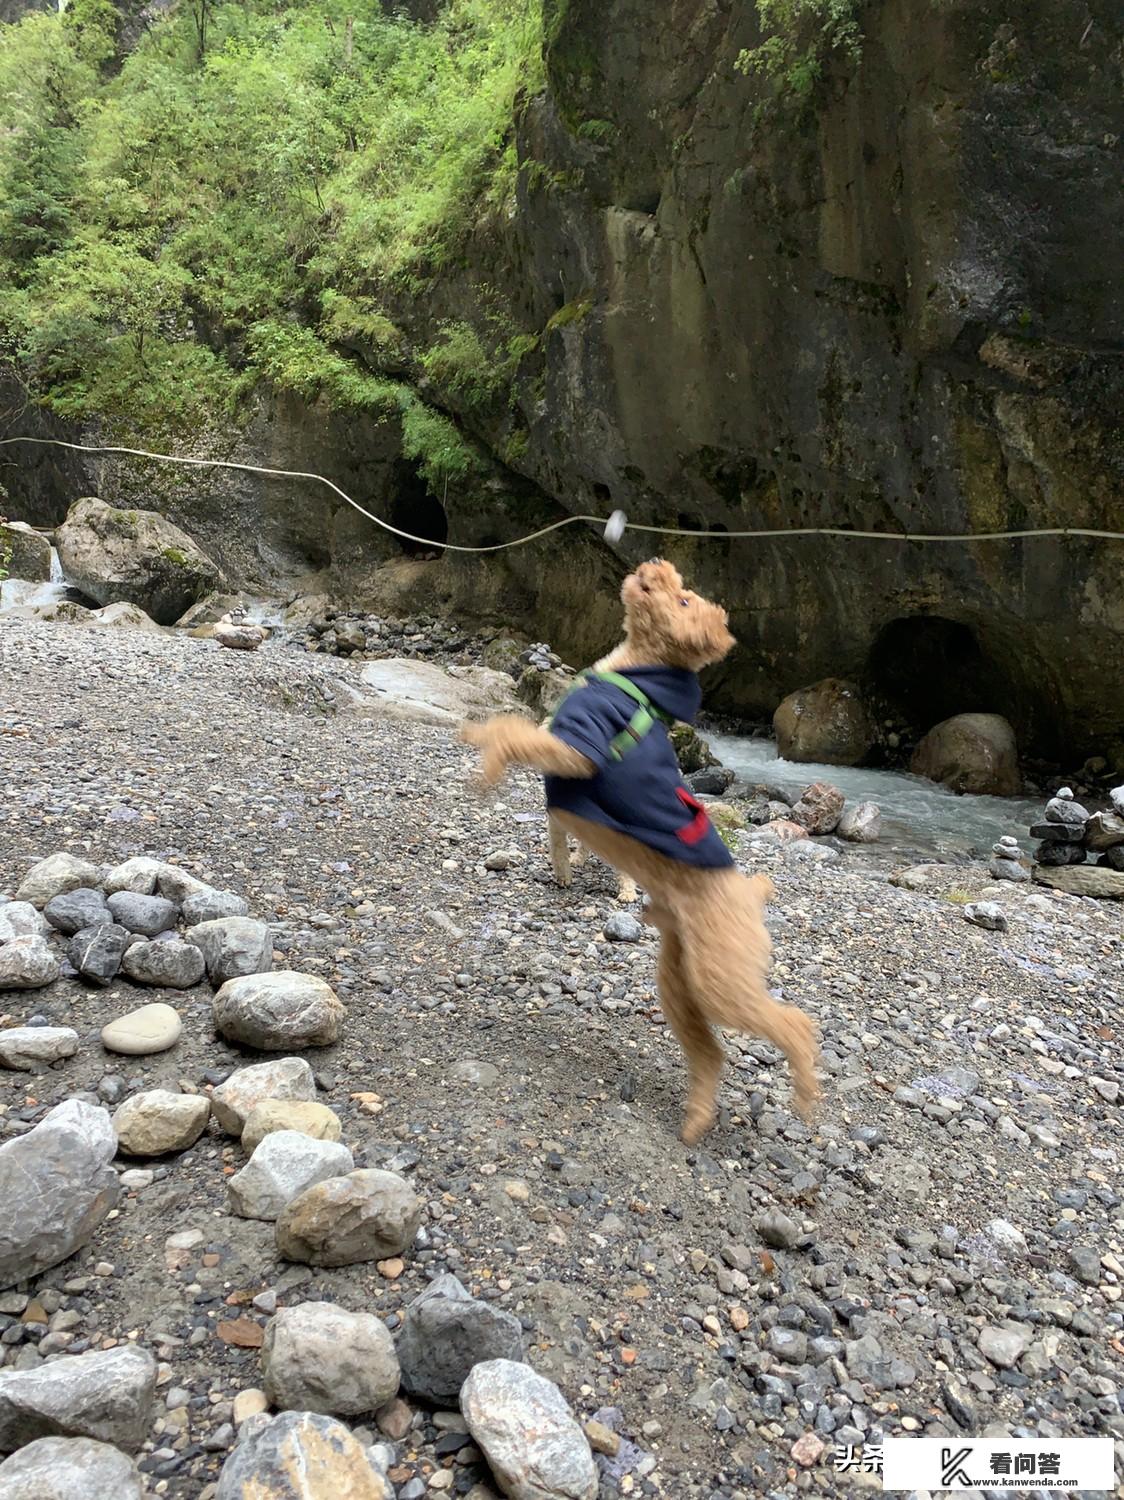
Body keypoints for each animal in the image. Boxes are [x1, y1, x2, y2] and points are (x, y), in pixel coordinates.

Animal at [459, 561, 822, 1134]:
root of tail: (750, 893)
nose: (656, 566)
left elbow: (514, 733)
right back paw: (695, 1120)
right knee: (710, 1054)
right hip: (680, 984)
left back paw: (805, 1093)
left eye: (684, 600)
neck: (632, 673)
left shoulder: (579, 747)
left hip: (722, 978)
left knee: (795, 1024)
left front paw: (487, 755)